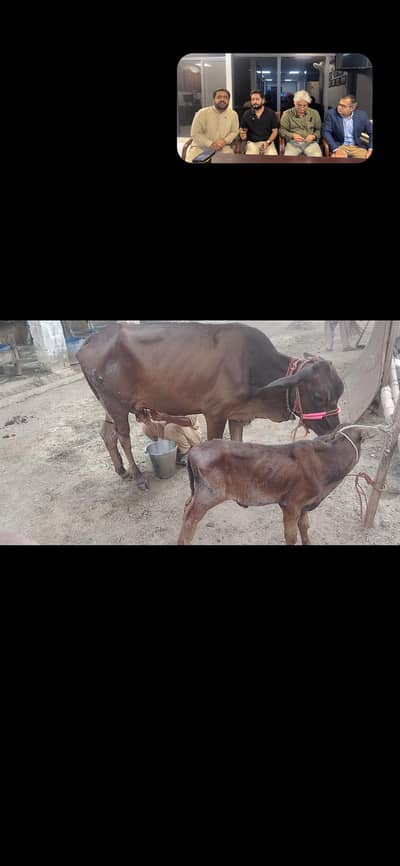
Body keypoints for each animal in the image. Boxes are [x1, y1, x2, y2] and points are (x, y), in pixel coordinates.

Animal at [76, 322, 344, 491]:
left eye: (339, 394)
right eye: (319, 396)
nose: (335, 431)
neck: (251, 366)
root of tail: (88, 341)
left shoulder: (237, 414)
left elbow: (238, 443)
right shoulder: (215, 413)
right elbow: (214, 444)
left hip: (109, 407)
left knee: (107, 434)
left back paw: (121, 470)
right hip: (117, 405)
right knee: (123, 438)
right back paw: (138, 477)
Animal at [177, 425, 366, 545]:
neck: (325, 462)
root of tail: (195, 449)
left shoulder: (305, 505)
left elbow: (304, 527)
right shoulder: (290, 504)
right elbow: (291, 535)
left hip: (198, 492)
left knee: (186, 508)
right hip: (209, 495)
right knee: (190, 519)